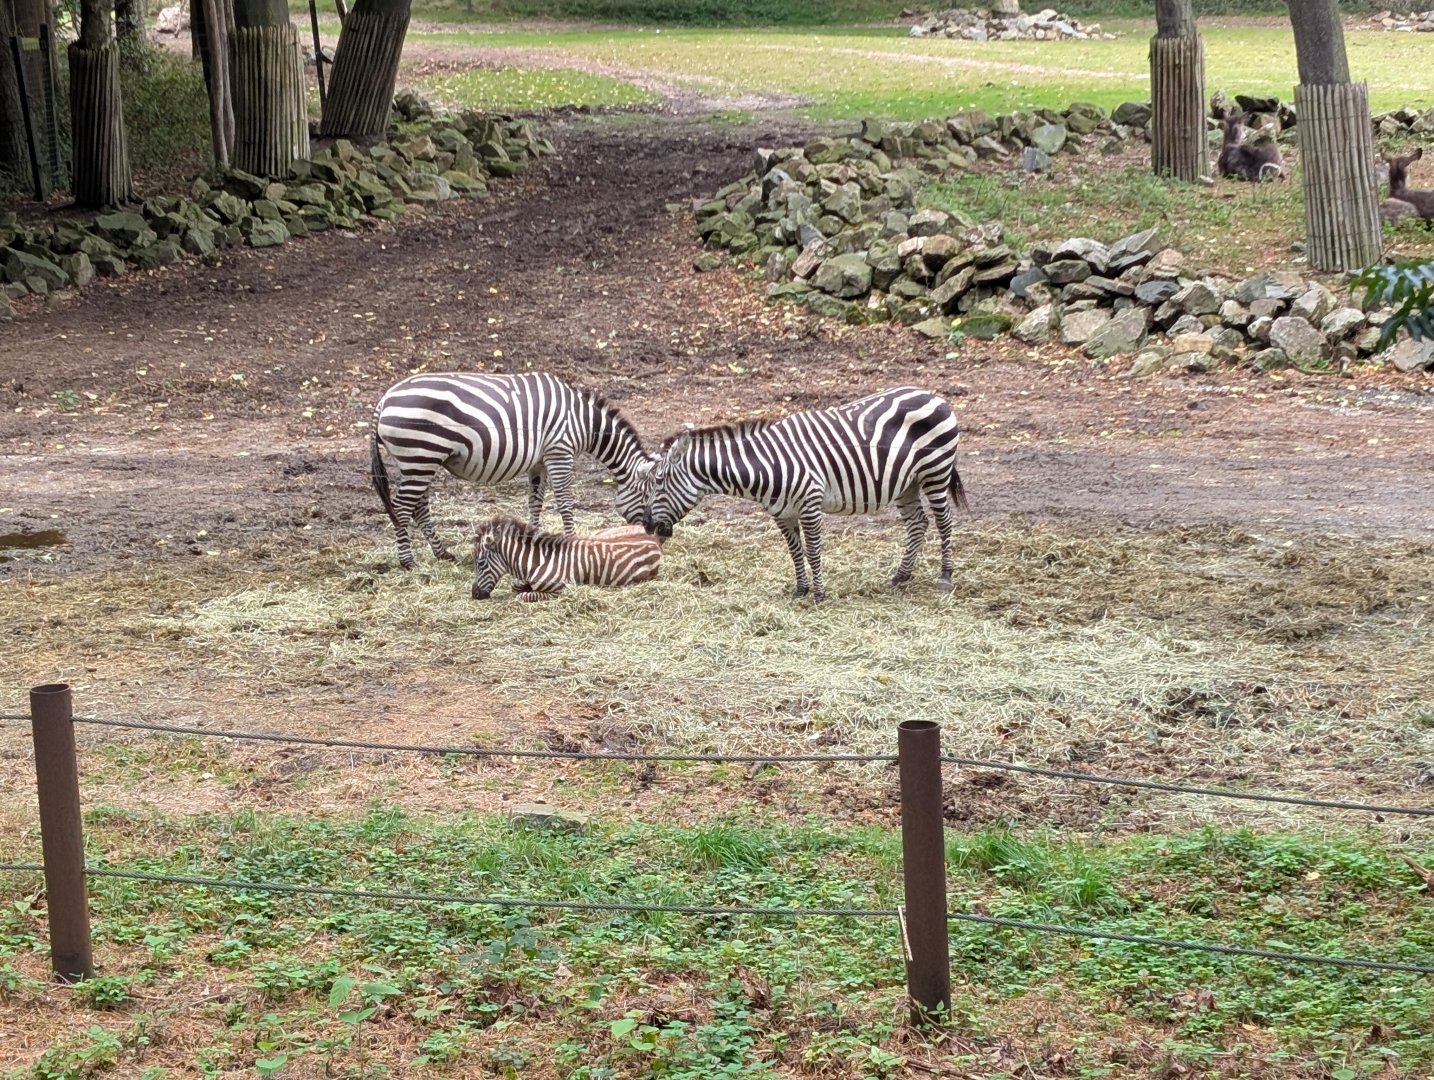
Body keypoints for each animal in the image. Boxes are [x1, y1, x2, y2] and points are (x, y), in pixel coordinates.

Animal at [370, 372, 652, 569]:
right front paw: (572, 542)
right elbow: (564, 502)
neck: (582, 421)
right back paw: (407, 561)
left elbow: (535, 501)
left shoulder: (540, 461)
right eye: (648, 497)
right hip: (421, 455)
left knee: (419, 506)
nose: (656, 534)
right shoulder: (560, 452)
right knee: (403, 507)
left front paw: (534, 540)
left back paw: (442, 553)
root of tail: (384, 399)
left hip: (422, 460)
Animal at [471, 517, 663, 601]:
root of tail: (653, 538)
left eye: (480, 563)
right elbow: (516, 587)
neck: (537, 561)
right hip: (599, 533)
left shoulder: (561, 589)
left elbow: (523, 596)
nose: (474, 594)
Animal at [640, 386, 967, 602]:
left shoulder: (810, 504)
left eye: (659, 481)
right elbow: (795, 552)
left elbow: (813, 550)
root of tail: (933, 395)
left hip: (935, 473)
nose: (647, 525)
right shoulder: (782, 513)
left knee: (944, 522)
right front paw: (801, 590)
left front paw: (819, 594)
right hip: (906, 483)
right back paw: (901, 576)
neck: (766, 466)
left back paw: (945, 576)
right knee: (918, 523)